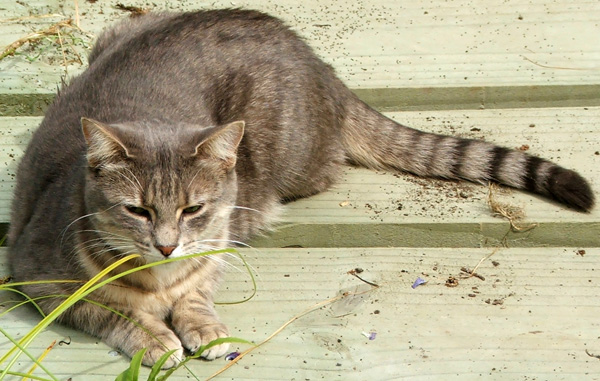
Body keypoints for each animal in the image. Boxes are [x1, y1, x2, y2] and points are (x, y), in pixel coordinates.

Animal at [7, 8, 592, 366]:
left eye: (194, 209)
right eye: (138, 211)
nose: (168, 245)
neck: (161, 277)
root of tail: (317, 62)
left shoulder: (214, 245)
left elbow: (197, 289)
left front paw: (202, 324)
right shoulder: (36, 277)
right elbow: (105, 309)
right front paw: (153, 336)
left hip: (287, 158)